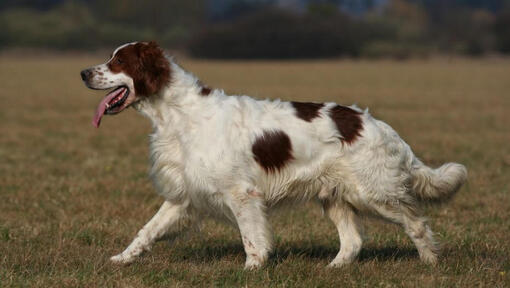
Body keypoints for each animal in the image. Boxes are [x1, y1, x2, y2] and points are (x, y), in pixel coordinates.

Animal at [79, 41, 466, 268]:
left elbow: (252, 238)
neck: (179, 114)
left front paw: (252, 269)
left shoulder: (241, 194)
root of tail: (380, 126)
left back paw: (430, 263)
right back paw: (334, 268)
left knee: (417, 224)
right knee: (353, 241)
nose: (82, 72)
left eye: (117, 61)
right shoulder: (184, 195)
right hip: (336, 196)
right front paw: (121, 259)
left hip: (374, 193)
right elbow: (147, 231)